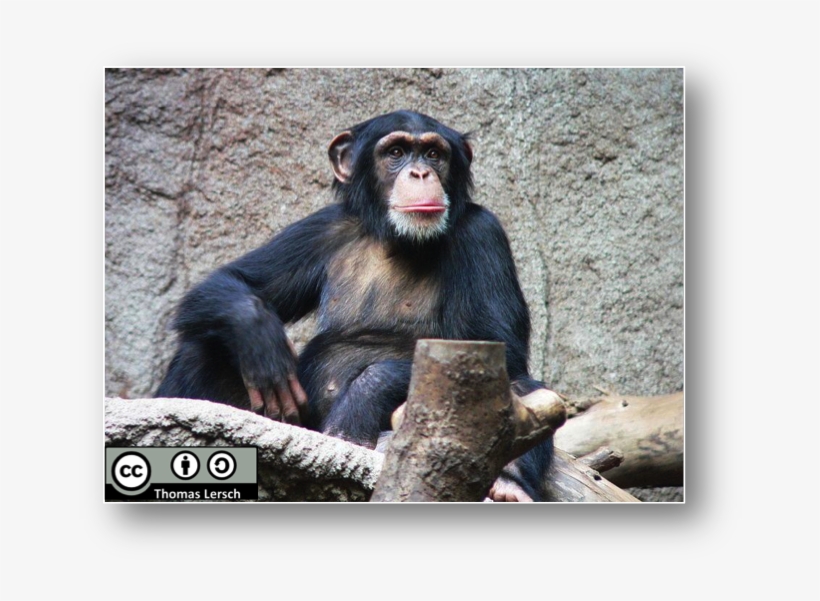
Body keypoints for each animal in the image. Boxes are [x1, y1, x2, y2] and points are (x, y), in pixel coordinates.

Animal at [157, 110, 554, 501]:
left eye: (433, 154)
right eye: (395, 152)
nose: (420, 173)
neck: (398, 238)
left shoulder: (484, 233)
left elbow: (502, 352)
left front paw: (364, 397)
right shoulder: (322, 227)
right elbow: (234, 281)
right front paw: (260, 338)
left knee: (522, 388)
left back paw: (508, 485)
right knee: (204, 345)